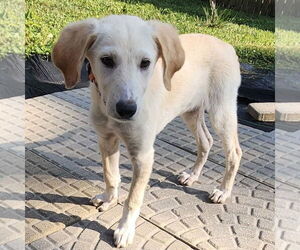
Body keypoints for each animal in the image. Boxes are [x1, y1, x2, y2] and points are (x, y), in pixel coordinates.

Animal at [52, 15, 243, 248]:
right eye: (106, 60)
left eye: (145, 63)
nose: (127, 109)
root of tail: (227, 45)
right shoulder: (106, 139)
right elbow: (110, 175)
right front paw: (109, 199)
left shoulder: (143, 155)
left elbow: (133, 199)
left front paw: (125, 229)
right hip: (191, 111)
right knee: (206, 141)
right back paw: (192, 176)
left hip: (221, 111)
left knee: (234, 152)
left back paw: (223, 191)